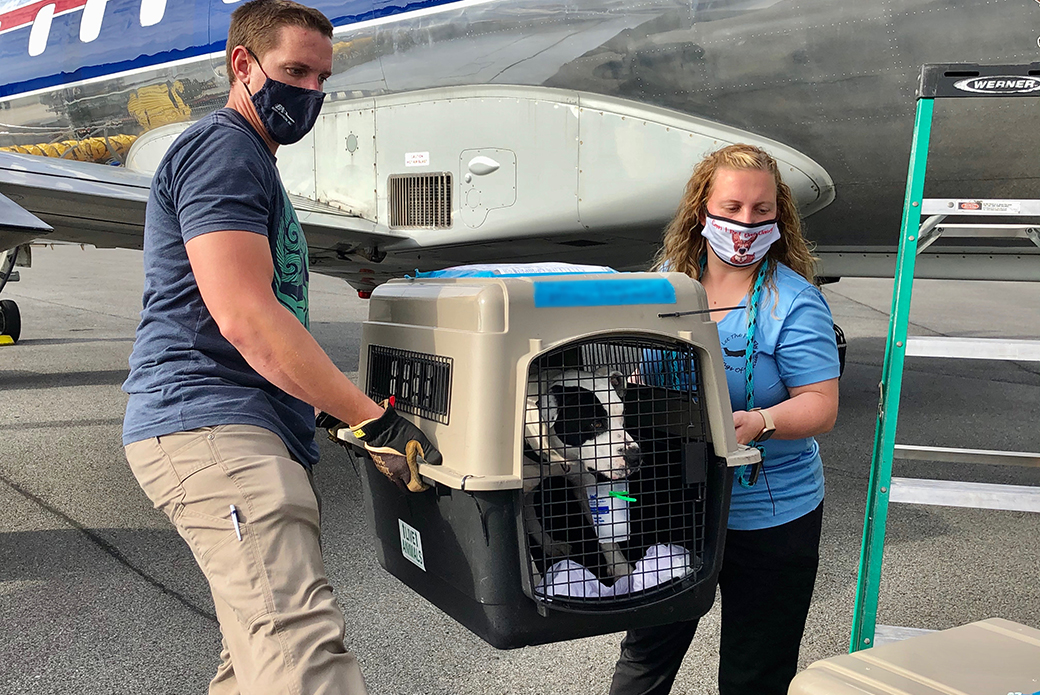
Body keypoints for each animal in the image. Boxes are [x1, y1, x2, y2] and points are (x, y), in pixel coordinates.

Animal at [520, 368, 640, 582]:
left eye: (622, 417)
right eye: (596, 424)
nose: (636, 457)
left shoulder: (584, 482)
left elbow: (606, 534)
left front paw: (622, 571)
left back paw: (550, 545)